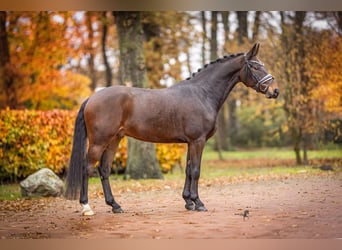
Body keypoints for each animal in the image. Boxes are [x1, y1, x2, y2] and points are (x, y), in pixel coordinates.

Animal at [65, 43, 280, 215]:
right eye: (255, 66)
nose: (275, 91)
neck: (202, 94)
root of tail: (92, 98)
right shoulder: (198, 141)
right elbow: (196, 171)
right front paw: (198, 203)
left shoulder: (191, 142)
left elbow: (188, 170)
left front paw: (188, 202)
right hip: (99, 141)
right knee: (87, 168)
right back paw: (86, 207)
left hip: (114, 140)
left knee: (104, 169)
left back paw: (115, 205)